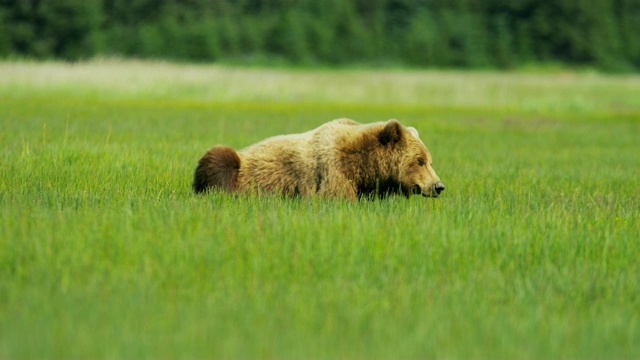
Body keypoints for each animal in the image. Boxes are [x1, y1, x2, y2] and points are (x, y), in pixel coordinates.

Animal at [192, 119, 444, 201]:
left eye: (429, 160)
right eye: (420, 160)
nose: (438, 186)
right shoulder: (332, 170)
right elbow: (336, 198)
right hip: (237, 166)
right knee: (219, 159)